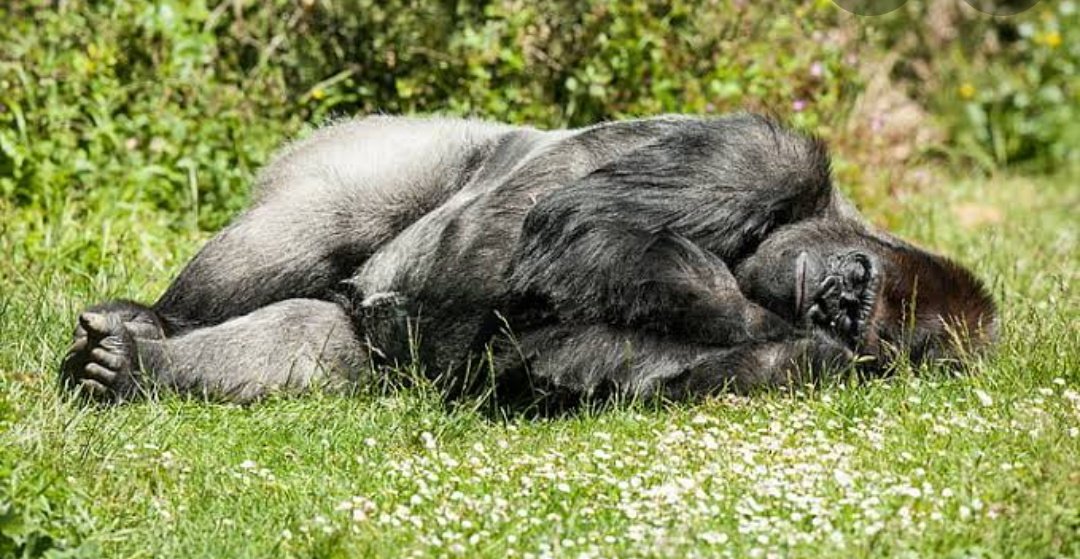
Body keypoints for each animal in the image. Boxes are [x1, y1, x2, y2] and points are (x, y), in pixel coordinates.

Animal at [61, 113, 993, 405]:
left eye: (867, 320)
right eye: (861, 283)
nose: (834, 303)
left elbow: (564, 357)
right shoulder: (767, 155)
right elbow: (585, 222)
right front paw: (760, 313)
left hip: (367, 336)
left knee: (311, 345)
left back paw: (136, 367)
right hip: (381, 143)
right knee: (321, 220)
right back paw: (157, 319)